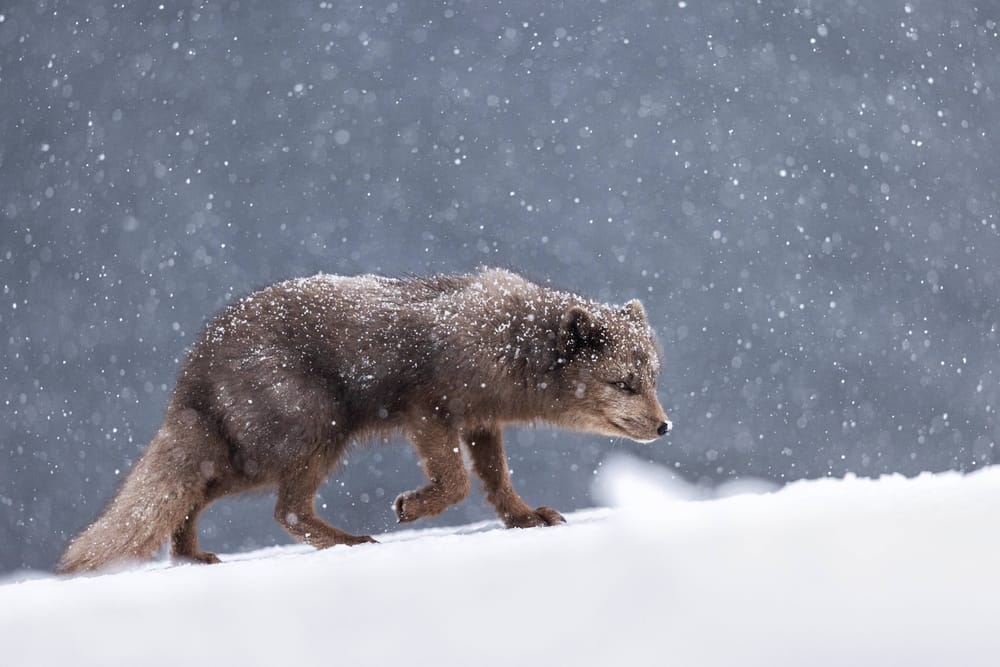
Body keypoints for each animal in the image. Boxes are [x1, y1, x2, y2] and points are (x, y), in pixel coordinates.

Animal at [59, 267, 671, 573]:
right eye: (624, 383)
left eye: (654, 378)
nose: (666, 427)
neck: (506, 340)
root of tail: (192, 371)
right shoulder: (429, 411)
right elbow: (456, 483)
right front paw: (411, 508)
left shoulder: (479, 422)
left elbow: (496, 481)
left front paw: (524, 519)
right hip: (308, 444)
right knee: (281, 511)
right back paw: (351, 543)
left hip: (268, 456)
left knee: (199, 497)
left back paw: (192, 557)